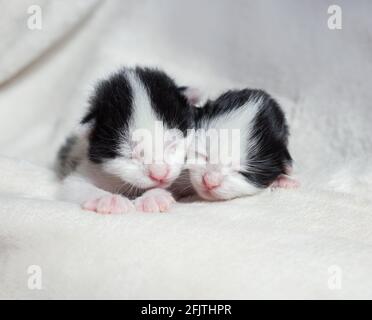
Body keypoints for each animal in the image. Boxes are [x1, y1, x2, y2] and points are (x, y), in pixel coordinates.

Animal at [56, 66, 195, 214]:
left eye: (173, 144)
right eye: (129, 155)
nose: (159, 175)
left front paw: (153, 197)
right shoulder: (88, 169)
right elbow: (73, 186)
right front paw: (107, 199)